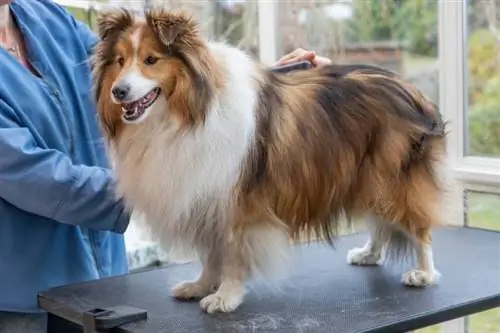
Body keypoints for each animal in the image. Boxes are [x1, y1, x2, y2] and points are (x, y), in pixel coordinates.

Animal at [92, 8, 448, 314]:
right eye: (120, 61)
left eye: (151, 60)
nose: (118, 92)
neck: (186, 113)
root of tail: (412, 90)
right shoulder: (205, 198)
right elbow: (210, 254)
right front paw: (201, 285)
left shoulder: (238, 203)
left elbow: (232, 254)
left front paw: (225, 297)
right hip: (368, 178)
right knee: (382, 223)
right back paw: (369, 255)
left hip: (392, 177)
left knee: (418, 228)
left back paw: (423, 274)